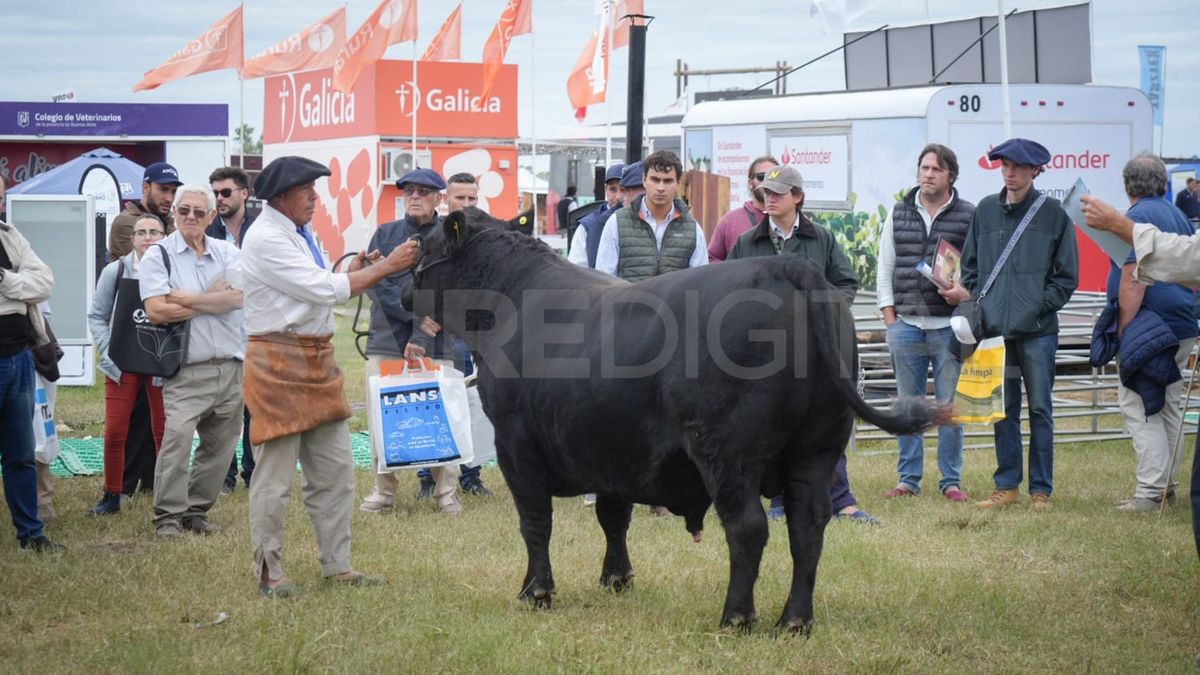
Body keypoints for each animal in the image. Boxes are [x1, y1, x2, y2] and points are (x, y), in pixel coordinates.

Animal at [403, 206, 936, 629]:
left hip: (726, 452)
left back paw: (735, 617)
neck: (513, 298)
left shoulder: (517, 444)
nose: (404, 288)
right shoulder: (610, 449)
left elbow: (535, 522)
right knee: (807, 528)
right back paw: (794, 621)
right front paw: (616, 578)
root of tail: (787, 265)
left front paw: (535, 592)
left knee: (748, 527)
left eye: (424, 243)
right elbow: (612, 516)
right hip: (817, 449)